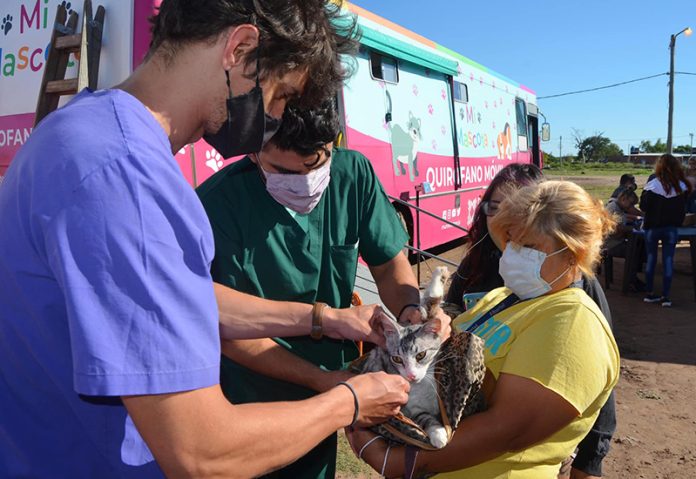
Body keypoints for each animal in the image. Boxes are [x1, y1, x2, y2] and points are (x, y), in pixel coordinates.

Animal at [361, 267, 451, 448]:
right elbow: (424, 417)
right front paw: (438, 434)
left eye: (421, 355)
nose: (411, 375)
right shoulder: (410, 409)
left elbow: (430, 308)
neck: (421, 387)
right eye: (397, 359)